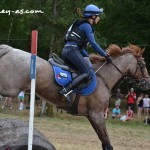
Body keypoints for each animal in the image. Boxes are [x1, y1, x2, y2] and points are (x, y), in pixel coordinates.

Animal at [0, 42, 150, 149]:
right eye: (143, 65)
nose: (147, 83)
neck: (104, 78)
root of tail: (10, 49)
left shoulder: (91, 116)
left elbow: (104, 142)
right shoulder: (97, 115)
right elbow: (107, 142)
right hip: (10, 88)